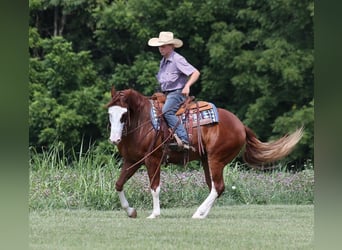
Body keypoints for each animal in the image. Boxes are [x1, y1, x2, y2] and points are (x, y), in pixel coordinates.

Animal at [105, 86, 304, 219]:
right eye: (110, 114)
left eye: (124, 115)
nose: (114, 139)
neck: (143, 122)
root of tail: (241, 126)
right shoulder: (133, 160)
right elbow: (119, 184)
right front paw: (131, 211)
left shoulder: (153, 160)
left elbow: (154, 187)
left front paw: (154, 214)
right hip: (206, 160)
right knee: (214, 186)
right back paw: (202, 213)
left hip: (216, 159)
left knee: (218, 186)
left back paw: (198, 212)